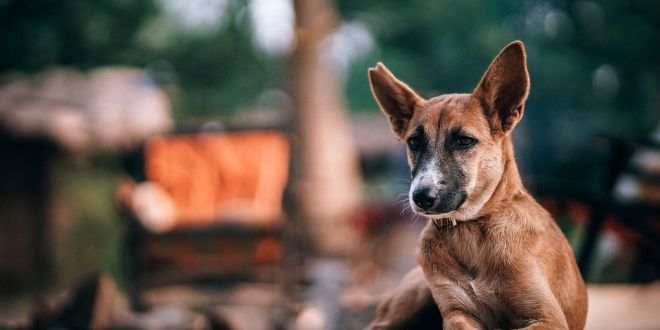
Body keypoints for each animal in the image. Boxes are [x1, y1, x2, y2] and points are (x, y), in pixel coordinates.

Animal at [366, 42, 588, 330]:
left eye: (464, 140)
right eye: (414, 142)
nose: (421, 197)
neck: (470, 230)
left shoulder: (547, 318)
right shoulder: (456, 312)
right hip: (415, 296)